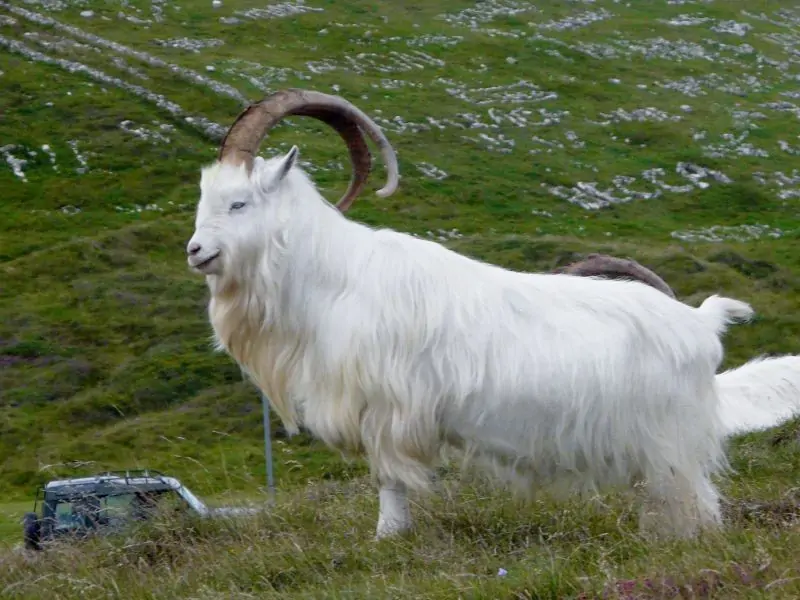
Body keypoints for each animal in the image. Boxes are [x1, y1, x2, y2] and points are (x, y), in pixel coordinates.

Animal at [187, 88, 788, 541]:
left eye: (239, 202)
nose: (195, 251)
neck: (337, 277)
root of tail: (701, 322)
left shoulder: (389, 407)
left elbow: (390, 480)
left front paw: (388, 538)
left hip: (671, 443)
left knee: (695, 500)